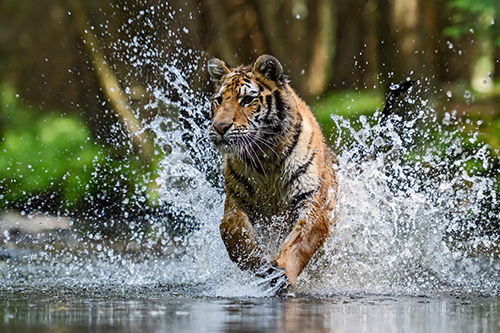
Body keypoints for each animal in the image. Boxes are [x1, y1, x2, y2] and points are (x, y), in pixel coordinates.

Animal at [207, 54, 340, 290]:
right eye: (219, 100)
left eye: (247, 100)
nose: (220, 127)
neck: (265, 157)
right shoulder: (235, 202)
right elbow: (234, 235)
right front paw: (260, 264)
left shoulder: (312, 202)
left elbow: (300, 241)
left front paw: (282, 274)